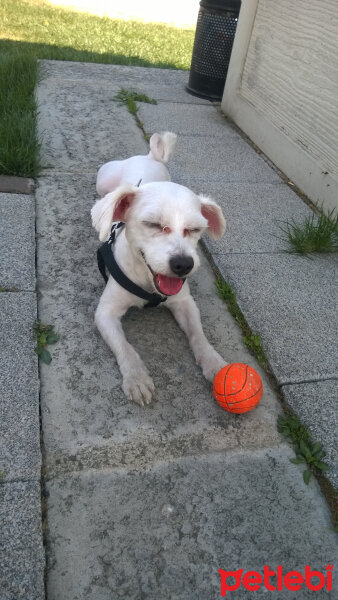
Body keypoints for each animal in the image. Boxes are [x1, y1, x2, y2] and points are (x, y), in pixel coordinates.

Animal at [92, 130, 227, 404]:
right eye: (153, 224)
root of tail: (150, 156)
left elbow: (199, 335)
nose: (183, 264)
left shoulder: (185, 303)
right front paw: (136, 378)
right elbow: (125, 347)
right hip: (103, 180)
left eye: (195, 229)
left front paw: (214, 362)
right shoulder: (105, 314)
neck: (147, 283)